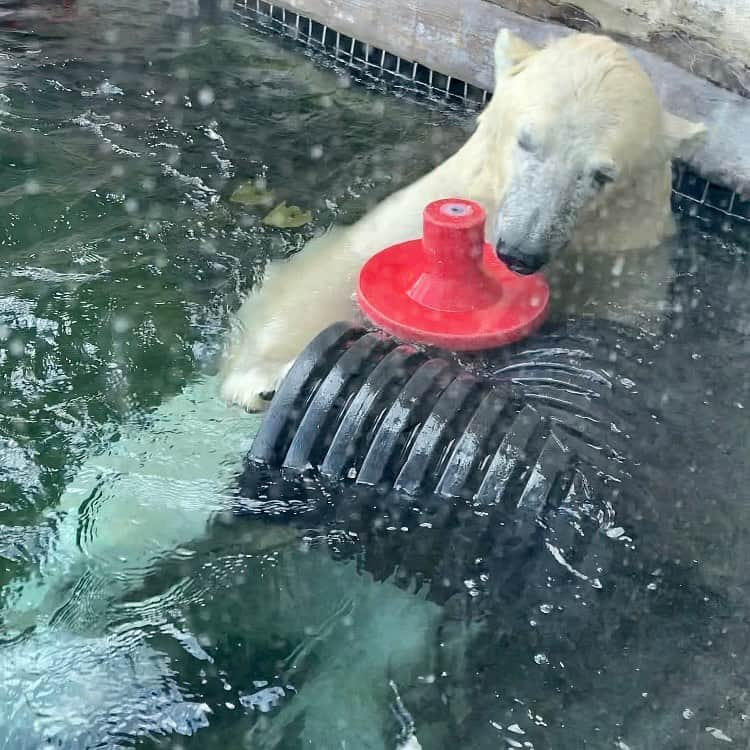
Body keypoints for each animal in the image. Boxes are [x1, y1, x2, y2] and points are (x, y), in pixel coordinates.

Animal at [222, 29, 704, 414]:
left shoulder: (630, 255)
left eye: (602, 174)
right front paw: (263, 378)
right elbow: (334, 271)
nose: (521, 253)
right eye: (526, 140)